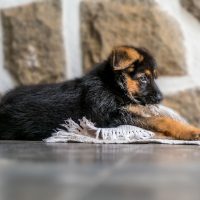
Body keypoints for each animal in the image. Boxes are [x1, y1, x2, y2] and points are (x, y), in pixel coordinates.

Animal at [0, 46, 200, 141]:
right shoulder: (112, 118)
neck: (112, 85)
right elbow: (160, 119)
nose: (160, 98)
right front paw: (190, 131)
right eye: (143, 78)